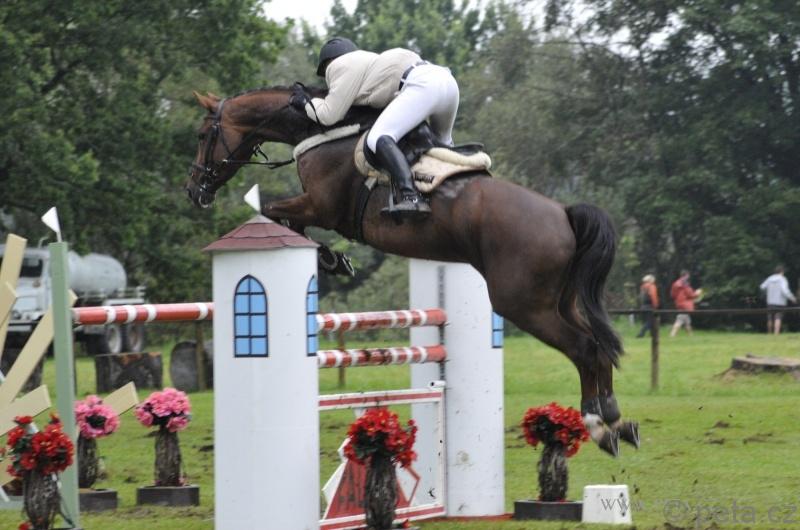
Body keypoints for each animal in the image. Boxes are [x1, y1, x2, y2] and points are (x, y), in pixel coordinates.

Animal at [185, 87, 639, 455]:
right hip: (558, 301)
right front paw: (333, 259)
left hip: (525, 305)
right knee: (598, 347)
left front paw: (330, 257)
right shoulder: (316, 208)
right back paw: (617, 420)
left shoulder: (320, 205)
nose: (194, 191)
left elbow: (271, 211)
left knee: (585, 348)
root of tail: (564, 213)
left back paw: (598, 425)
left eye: (203, 135)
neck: (322, 128)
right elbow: (280, 217)